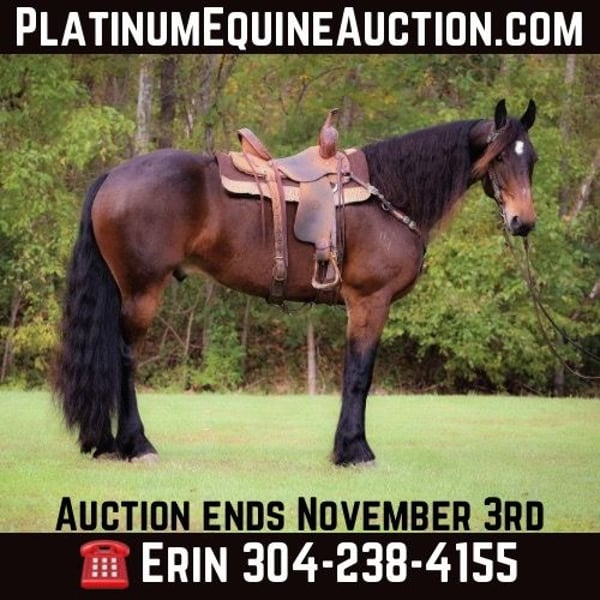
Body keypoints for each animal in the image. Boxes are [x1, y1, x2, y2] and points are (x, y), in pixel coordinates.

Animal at [52, 98, 538, 466]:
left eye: (531, 159)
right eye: (499, 157)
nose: (524, 222)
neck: (388, 194)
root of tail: (114, 176)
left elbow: (354, 375)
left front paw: (345, 448)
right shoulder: (370, 302)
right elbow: (359, 375)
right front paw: (355, 451)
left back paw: (108, 444)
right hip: (141, 292)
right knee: (124, 359)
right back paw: (137, 445)